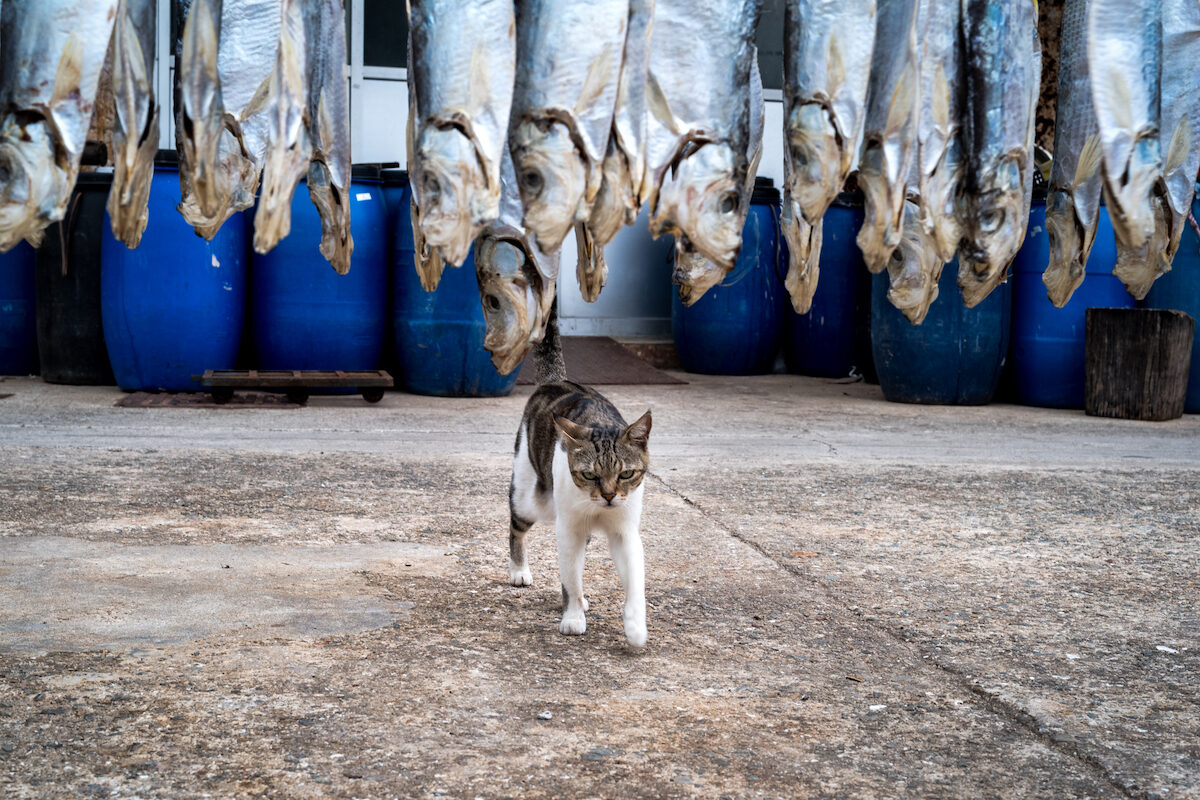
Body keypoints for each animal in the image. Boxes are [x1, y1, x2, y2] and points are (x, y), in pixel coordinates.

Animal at [508, 303, 657, 647]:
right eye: (589, 475)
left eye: (626, 474)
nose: (609, 495)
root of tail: (557, 380)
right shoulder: (569, 529)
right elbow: (571, 580)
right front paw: (573, 616)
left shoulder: (625, 531)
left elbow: (635, 581)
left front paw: (635, 625)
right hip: (530, 499)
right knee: (516, 527)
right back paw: (519, 569)